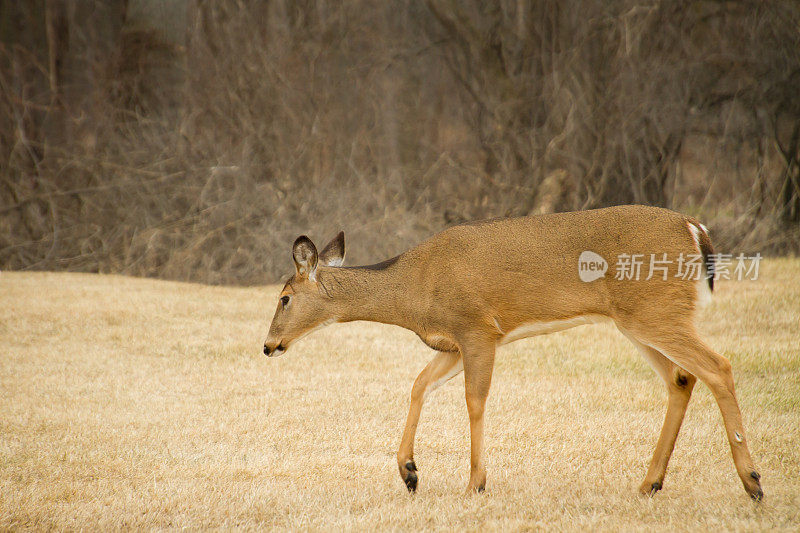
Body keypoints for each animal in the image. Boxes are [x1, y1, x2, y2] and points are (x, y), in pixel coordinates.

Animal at [262, 204, 764, 498]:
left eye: (284, 298)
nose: (268, 346)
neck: (416, 290)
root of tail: (695, 229)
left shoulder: (478, 328)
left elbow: (474, 401)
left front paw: (475, 484)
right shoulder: (453, 342)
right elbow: (419, 384)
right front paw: (409, 471)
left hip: (656, 310)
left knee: (719, 366)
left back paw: (752, 482)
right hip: (638, 318)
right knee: (682, 377)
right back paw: (649, 483)